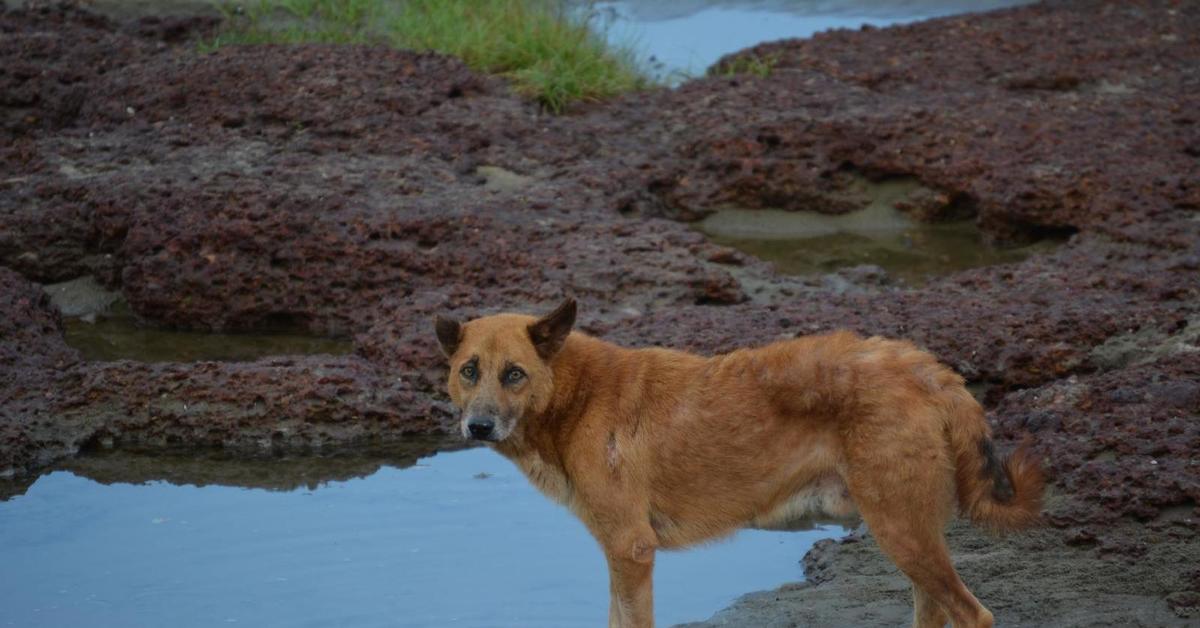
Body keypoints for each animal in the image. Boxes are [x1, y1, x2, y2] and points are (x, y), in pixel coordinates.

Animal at [432, 300, 1041, 628]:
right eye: (469, 371)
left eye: (514, 374)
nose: (477, 427)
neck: (578, 396)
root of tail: (928, 369)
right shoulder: (619, 555)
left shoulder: (631, 550)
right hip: (912, 545)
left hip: (903, 536)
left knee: (976, 615)